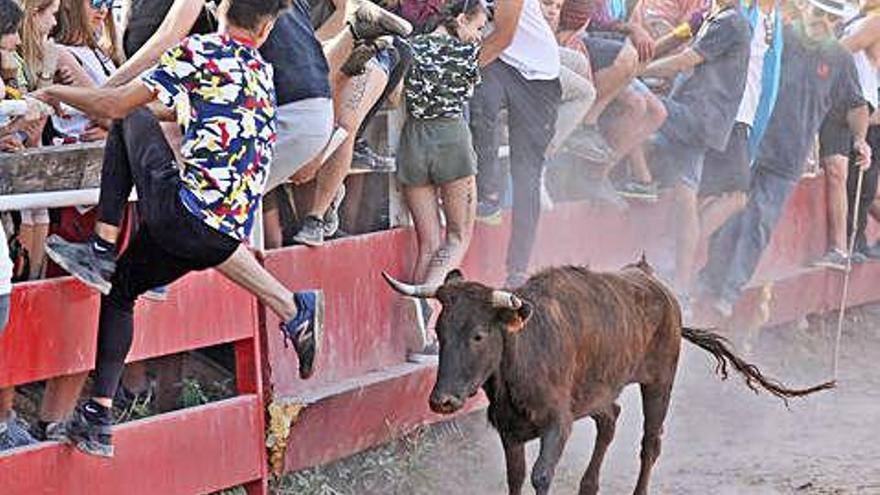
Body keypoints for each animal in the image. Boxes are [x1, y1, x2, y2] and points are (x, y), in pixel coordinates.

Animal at [384, 262, 832, 494]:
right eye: (440, 332)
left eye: (479, 335)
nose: (442, 401)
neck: (522, 358)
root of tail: (652, 280)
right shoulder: (510, 430)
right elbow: (515, 479)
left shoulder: (558, 425)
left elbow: (541, 475)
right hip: (599, 392)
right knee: (611, 419)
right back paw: (589, 484)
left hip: (660, 381)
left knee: (650, 443)